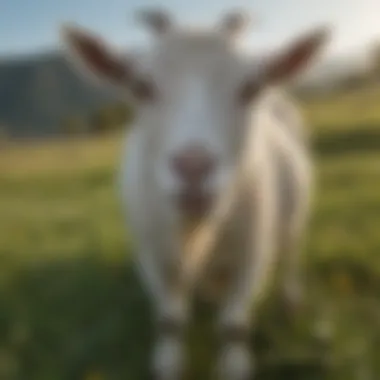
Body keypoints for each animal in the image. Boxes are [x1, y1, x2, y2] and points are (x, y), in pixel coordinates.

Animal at [59, 8, 330, 380]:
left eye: (250, 88)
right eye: (141, 88)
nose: (193, 168)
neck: (195, 232)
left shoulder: (251, 255)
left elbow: (233, 326)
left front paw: (234, 365)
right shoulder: (154, 257)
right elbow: (170, 321)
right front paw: (168, 364)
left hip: (292, 217)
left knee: (291, 252)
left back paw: (290, 302)